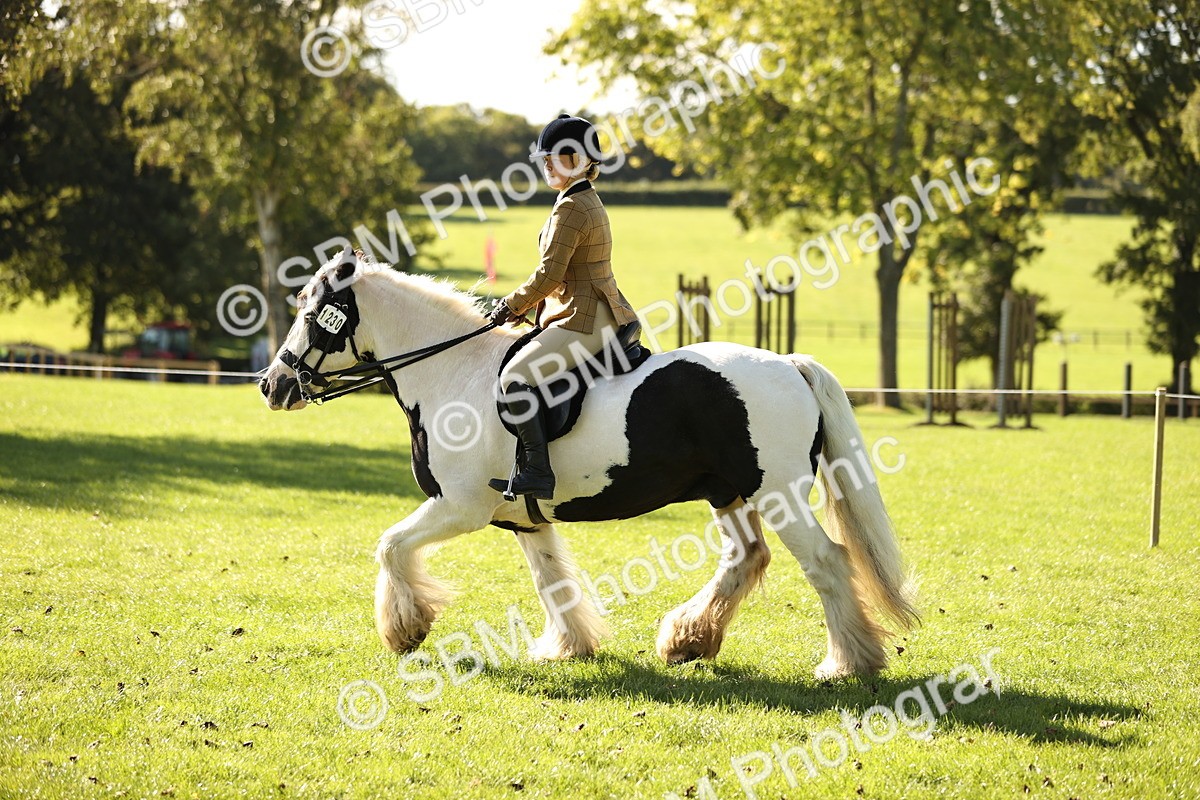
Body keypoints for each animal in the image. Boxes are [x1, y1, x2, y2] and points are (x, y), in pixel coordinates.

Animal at [259, 250, 918, 679]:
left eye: (314, 313)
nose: (272, 385)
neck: (454, 373)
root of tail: (790, 364)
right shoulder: (524, 518)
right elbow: (551, 580)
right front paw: (570, 647)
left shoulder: (460, 507)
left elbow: (391, 545)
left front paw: (406, 629)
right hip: (726, 492)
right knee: (746, 557)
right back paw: (687, 640)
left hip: (776, 495)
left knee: (827, 563)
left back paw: (848, 663)